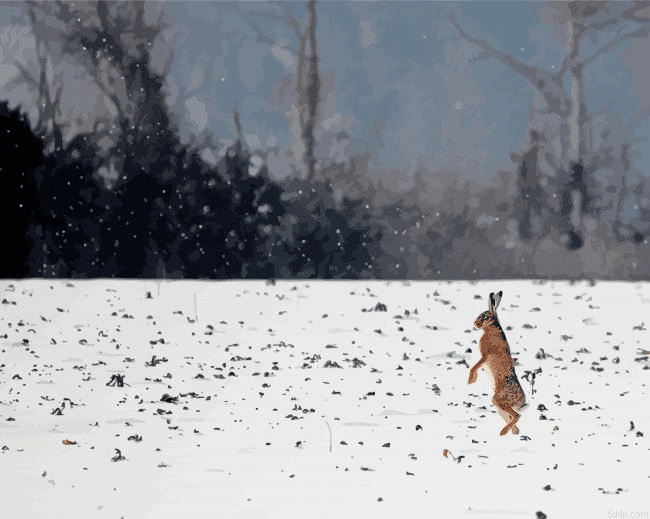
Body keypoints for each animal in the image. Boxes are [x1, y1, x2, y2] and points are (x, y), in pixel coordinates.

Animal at [468, 291, 526, 436]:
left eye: (483, 317)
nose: (475, 324)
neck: (491, 328)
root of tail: (522, 401)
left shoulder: (486, 355)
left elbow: (474, 366)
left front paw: (471, 381)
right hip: (499, 405)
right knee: (512, 417)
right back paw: (513, 432)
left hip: (499, 400)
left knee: (517, 415)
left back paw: (503, 432)